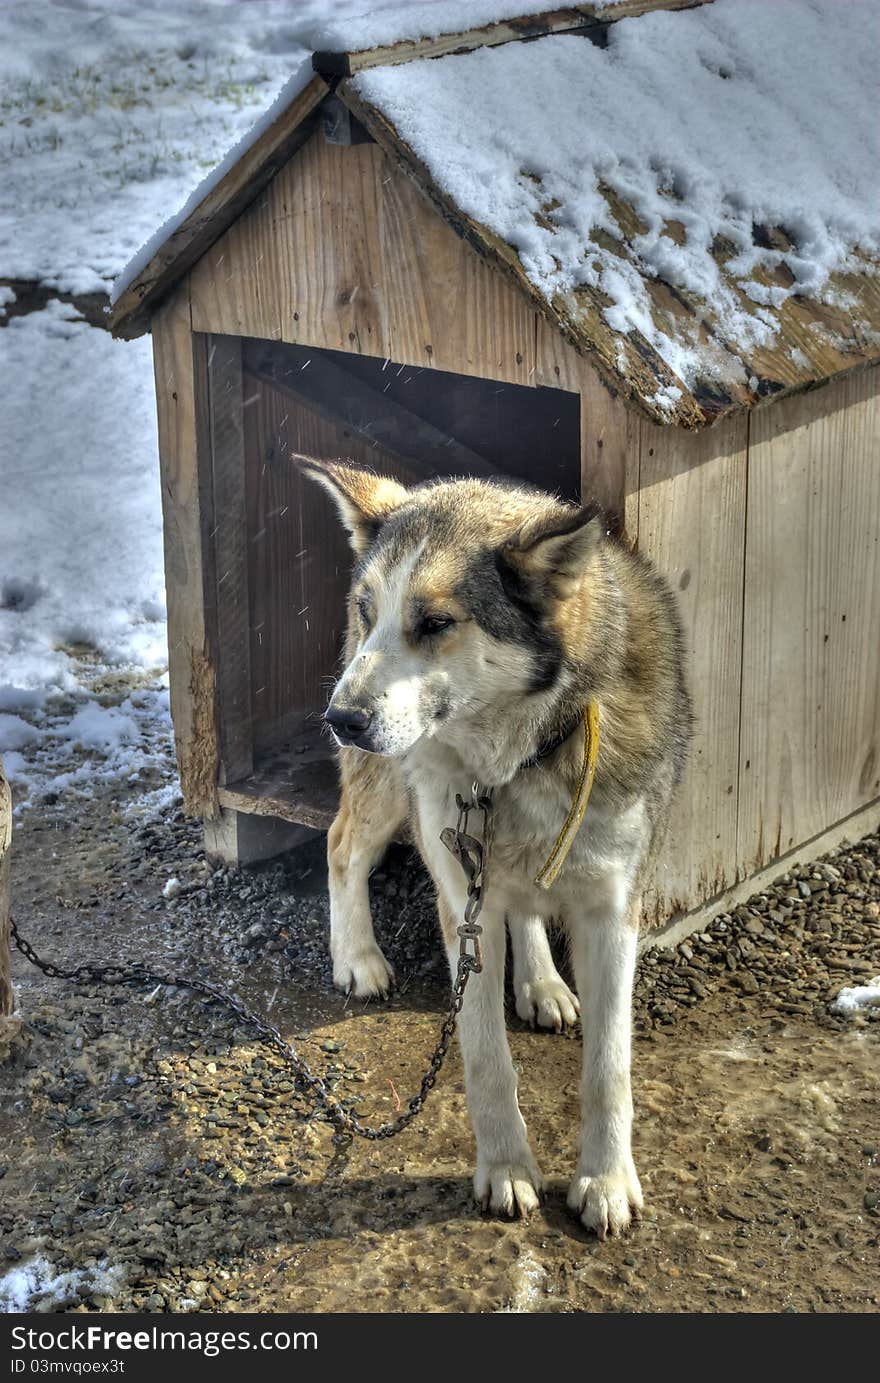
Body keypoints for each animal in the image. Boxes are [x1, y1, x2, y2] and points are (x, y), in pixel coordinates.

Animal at [305, 459, 691, 1239]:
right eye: (369, 609)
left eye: (435, 623)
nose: (340, 719)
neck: (519, 758)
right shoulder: (461, 902)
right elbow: (486, 1059)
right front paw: (507, 1168)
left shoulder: (614, 911)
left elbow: (609, 1067)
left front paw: (607, 1180)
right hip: (389, 791)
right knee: (341, 844)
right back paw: (357, 955)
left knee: (521, 899)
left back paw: (540, 982)